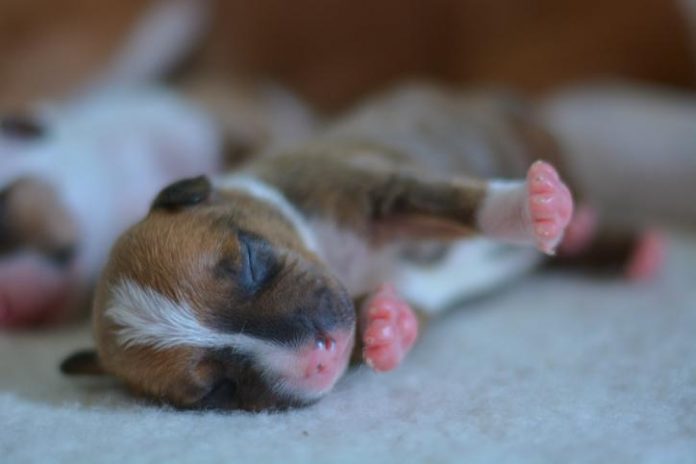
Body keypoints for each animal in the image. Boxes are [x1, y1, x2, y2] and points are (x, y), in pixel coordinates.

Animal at [62, 82, 672, 410]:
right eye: (216, 390)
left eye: (250, 261)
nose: (323, 350)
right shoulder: (410, 285)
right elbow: (397, 312)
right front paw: (385, 326)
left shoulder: (375, 188)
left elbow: (458, 203)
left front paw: (532, 207)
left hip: (525, 133)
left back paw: (584, 219)